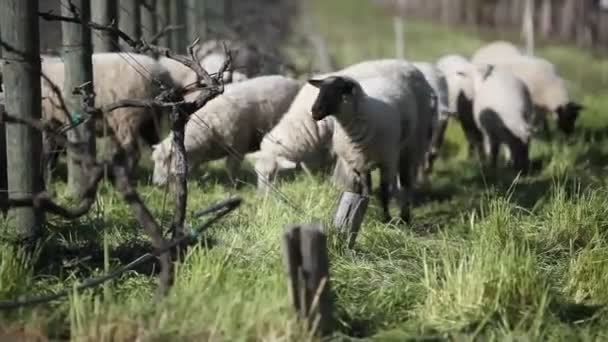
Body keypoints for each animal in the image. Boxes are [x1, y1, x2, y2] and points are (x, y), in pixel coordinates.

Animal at [151, 75, 300, 187]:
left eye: (166, 160)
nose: (156, 184)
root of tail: (292, 81)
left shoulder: (238, 147)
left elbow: (231, 168)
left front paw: (233, 186)